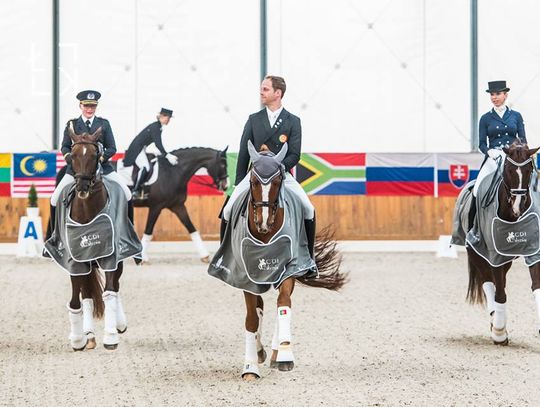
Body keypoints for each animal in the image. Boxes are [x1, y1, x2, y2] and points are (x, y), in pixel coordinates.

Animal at [63, 126, 127, 352]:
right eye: (72, 155)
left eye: (93, 155)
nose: (82, 187)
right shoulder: (76, 262)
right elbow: (76, 301)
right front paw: (77, 339)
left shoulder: (111, 258)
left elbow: (109, 293)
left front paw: (110, 336)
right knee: (88, 296)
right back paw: (89, 336)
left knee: (115, 288)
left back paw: (119, 324)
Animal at [239, 142, 346, 380]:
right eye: (253, 181)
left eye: (278, 181)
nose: (263, 223)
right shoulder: (246, 278)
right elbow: (251, 319)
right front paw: (250, 367)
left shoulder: (290, 269)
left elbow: (283, 303)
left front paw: (285, 355)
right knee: (259, 308)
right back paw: (259, 352)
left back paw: (275, 353)